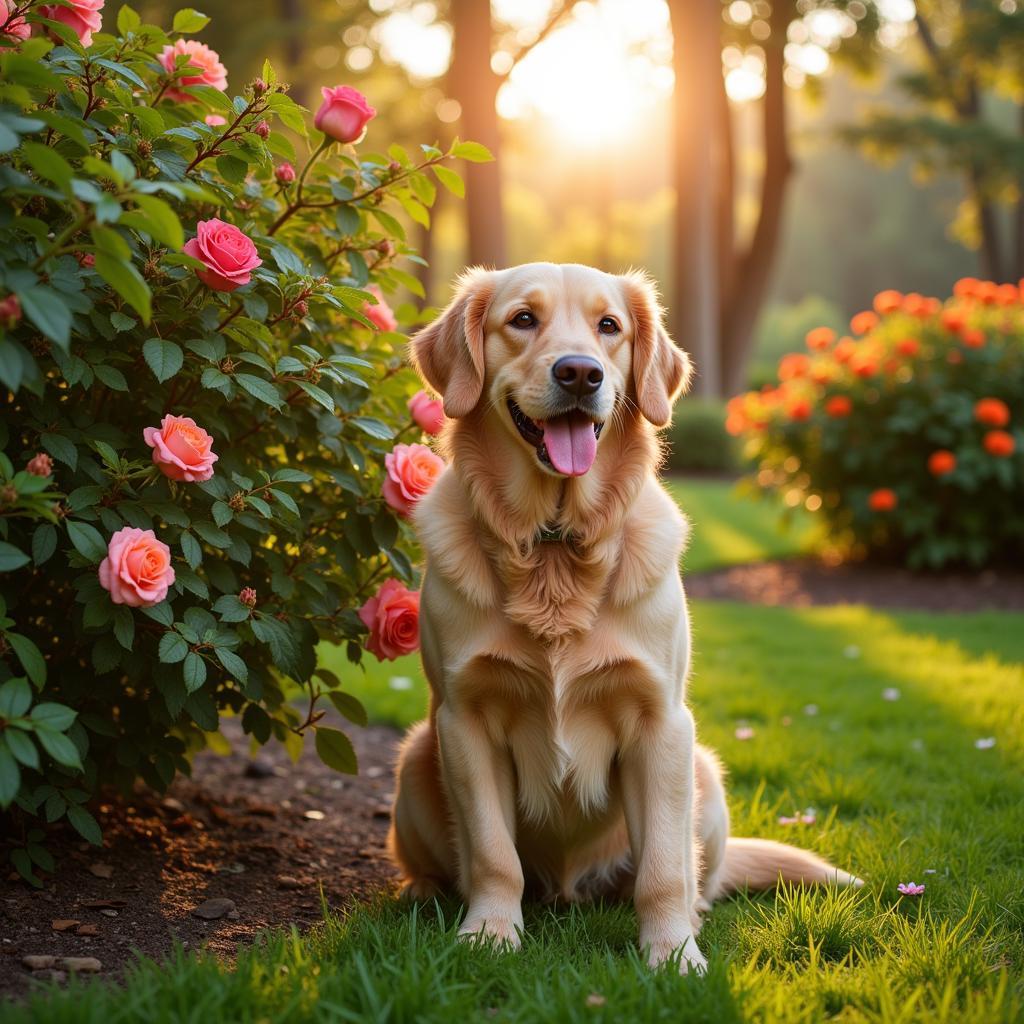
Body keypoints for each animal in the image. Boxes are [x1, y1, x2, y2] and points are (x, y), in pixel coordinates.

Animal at [387, 262, 860, 966]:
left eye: (609, 326)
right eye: (522, 319)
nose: (580, 373)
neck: (554, 544)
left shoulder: (660, 722)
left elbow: (663, 866)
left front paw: (673, 954)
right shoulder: (463, 719)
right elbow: (495, 855)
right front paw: (491, 933)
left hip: (703, 771)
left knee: (691, 873)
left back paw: (690, 914)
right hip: (418, 757)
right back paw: (424, 893)